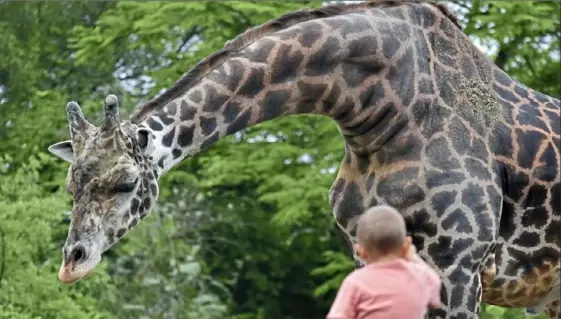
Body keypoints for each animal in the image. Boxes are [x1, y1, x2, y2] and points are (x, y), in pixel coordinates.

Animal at [46, 1, 556, 318]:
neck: (382, 112)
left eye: (127, 182)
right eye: (71, 186)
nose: (72, 263)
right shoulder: (368, 259)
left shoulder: (460, 263)